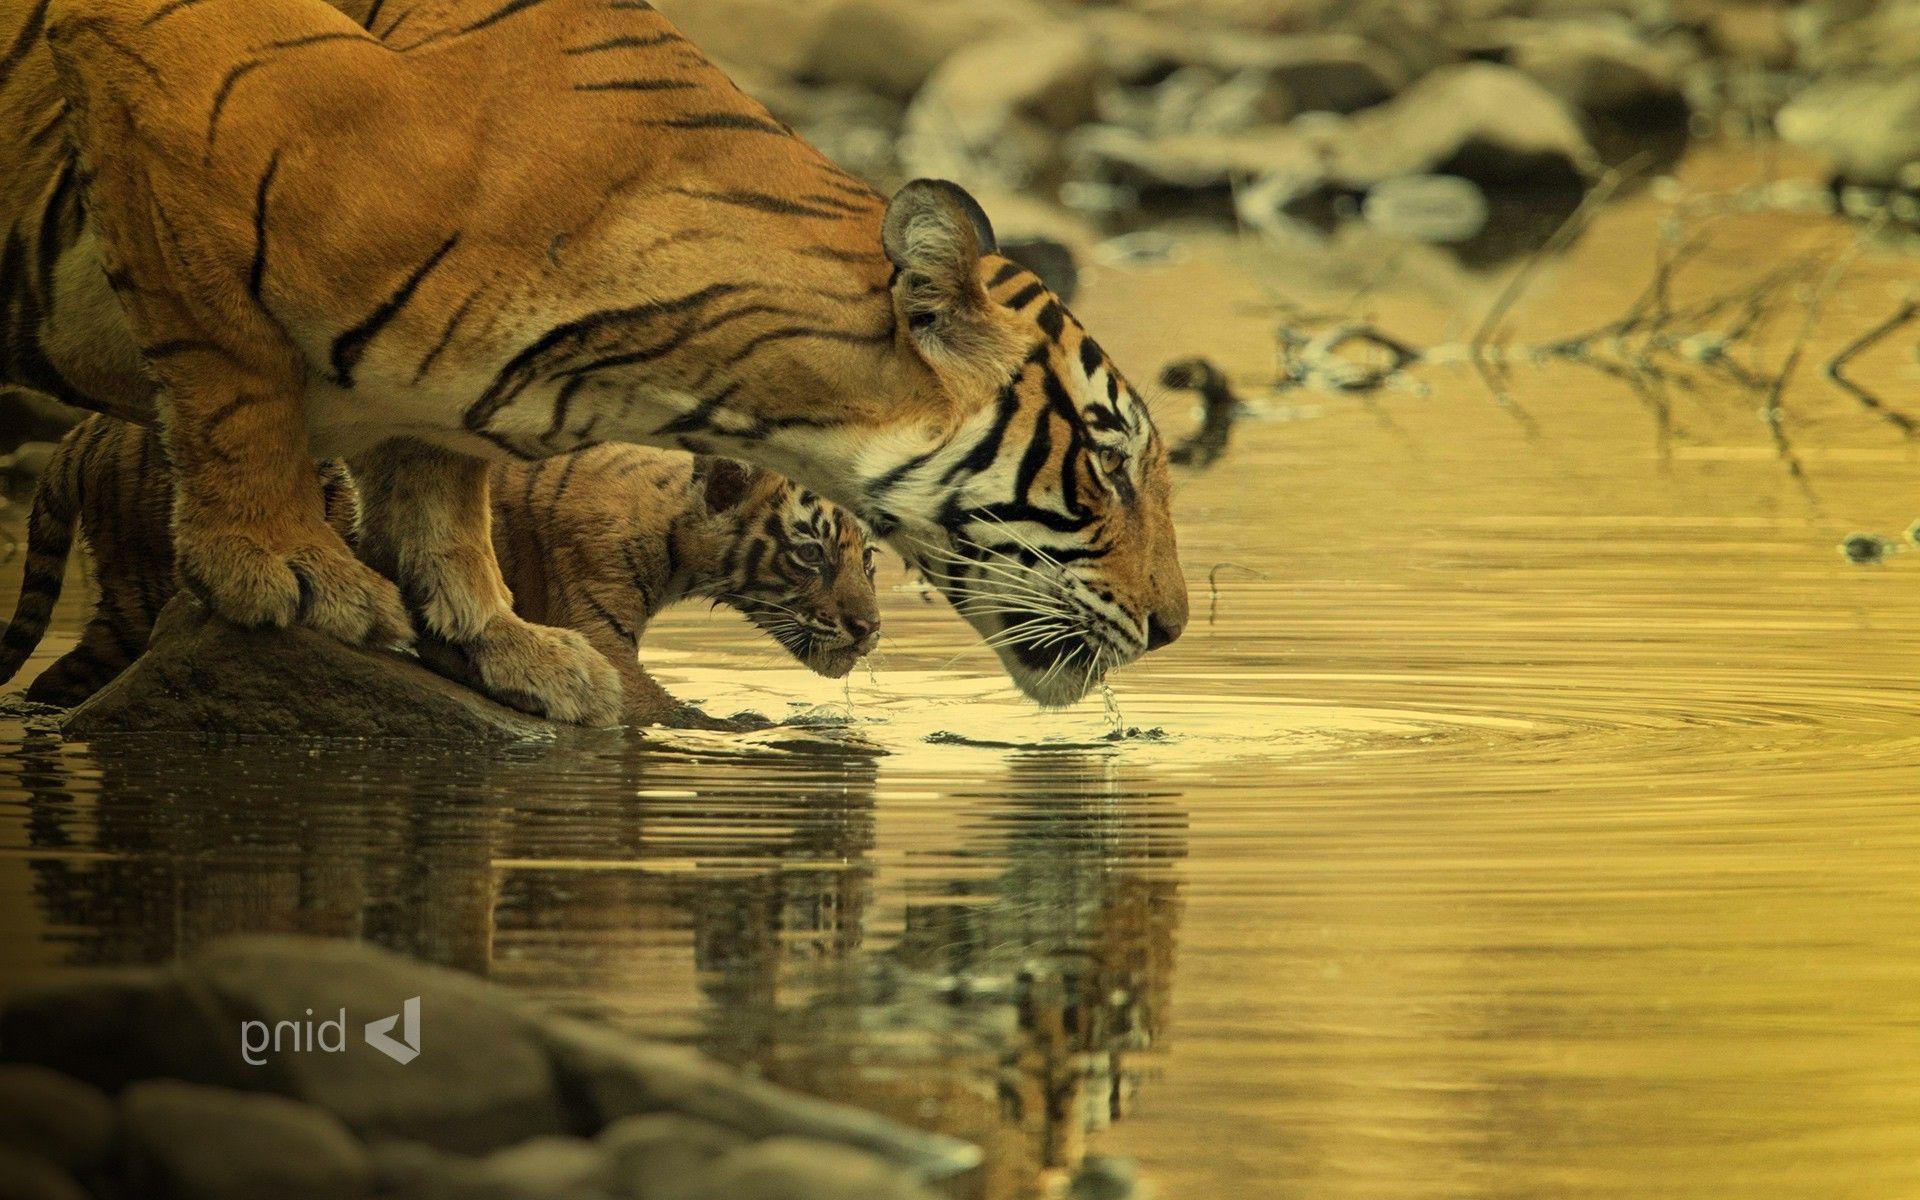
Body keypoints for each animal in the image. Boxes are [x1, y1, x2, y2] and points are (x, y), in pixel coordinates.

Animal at [0, 418, 882, 722]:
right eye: (809, 553)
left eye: (868, 558)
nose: (871, 630)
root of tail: (77, 434)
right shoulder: (599, 630)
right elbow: (668, 711)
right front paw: (750, 728)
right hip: (137, 594)